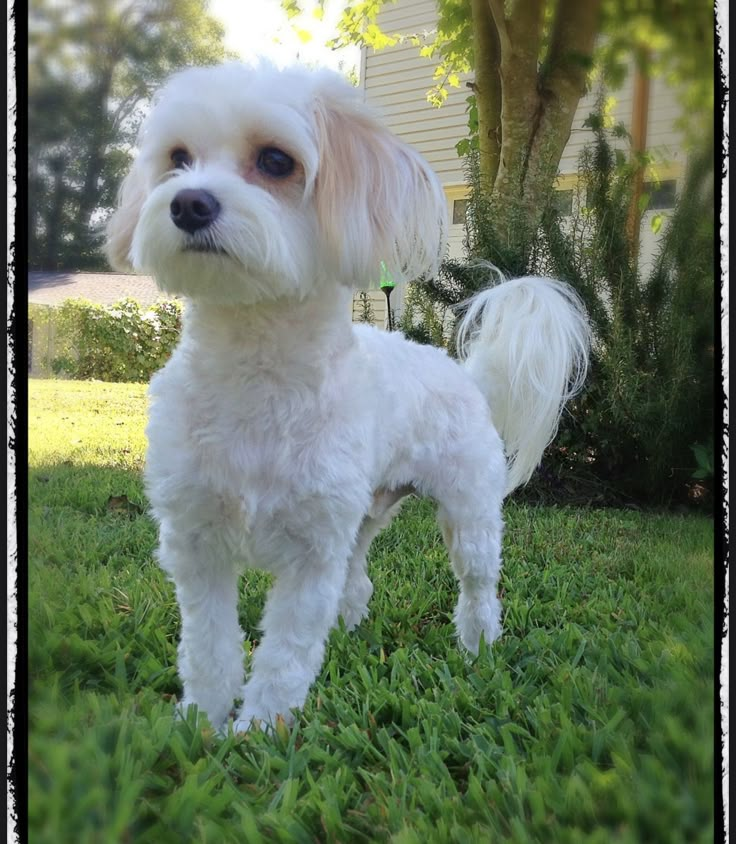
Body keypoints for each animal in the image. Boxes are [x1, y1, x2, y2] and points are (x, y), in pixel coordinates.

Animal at [106, 61, 592, 732]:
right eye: (178, 159)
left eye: (276, 161)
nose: (188, 202)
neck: (256, 371)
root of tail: (463, 373)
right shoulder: (197, 541)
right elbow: (208, 648)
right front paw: (202, 723)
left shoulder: (312, 556)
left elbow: (284, 655)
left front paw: (258, 731)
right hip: (361, 516)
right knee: (357, 582)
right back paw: (353, 631)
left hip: (468, 515)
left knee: (477, 589)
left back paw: (477, 650)